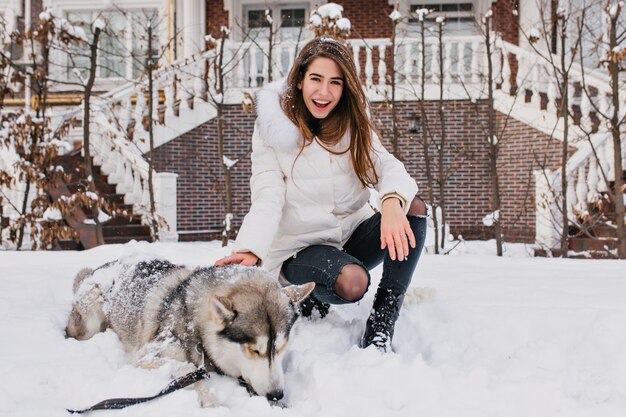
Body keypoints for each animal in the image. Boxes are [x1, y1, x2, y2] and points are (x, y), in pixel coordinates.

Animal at [64, 258, 312, 404]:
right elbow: (188, 369)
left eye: (280, 348)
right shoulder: (145, 356)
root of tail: (98, 268)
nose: (276, 394)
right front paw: (209, 401)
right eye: (254, 351)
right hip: (91, 316)